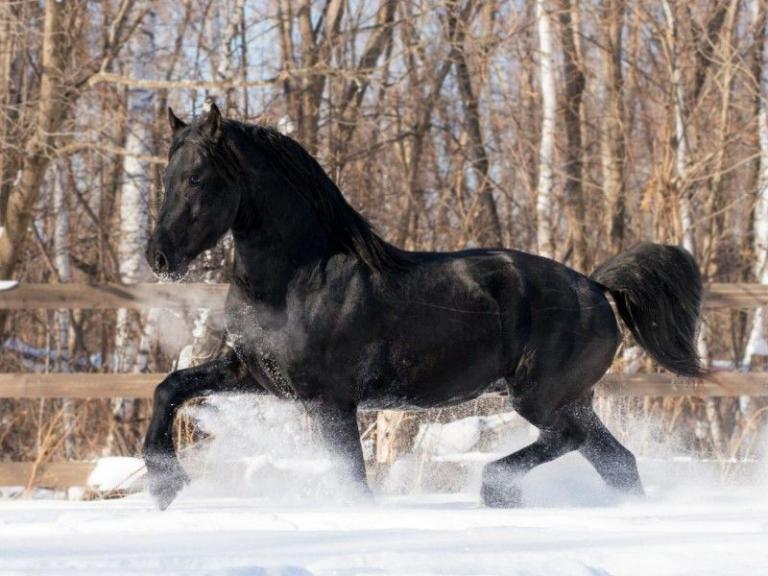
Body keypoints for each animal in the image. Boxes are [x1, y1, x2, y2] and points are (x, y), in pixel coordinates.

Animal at [143, 102, 705, 510]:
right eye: (168, 177)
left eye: (196, 178)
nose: (158, 256)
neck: (298, 280)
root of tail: (594, 286)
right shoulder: (257, 375)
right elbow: (170, 386)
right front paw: (163, 482)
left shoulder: (331, 400)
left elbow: (353, 477)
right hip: (572, 399)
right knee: (618, 462)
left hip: (541, 397)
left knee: (567, 439)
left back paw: (496, 488)